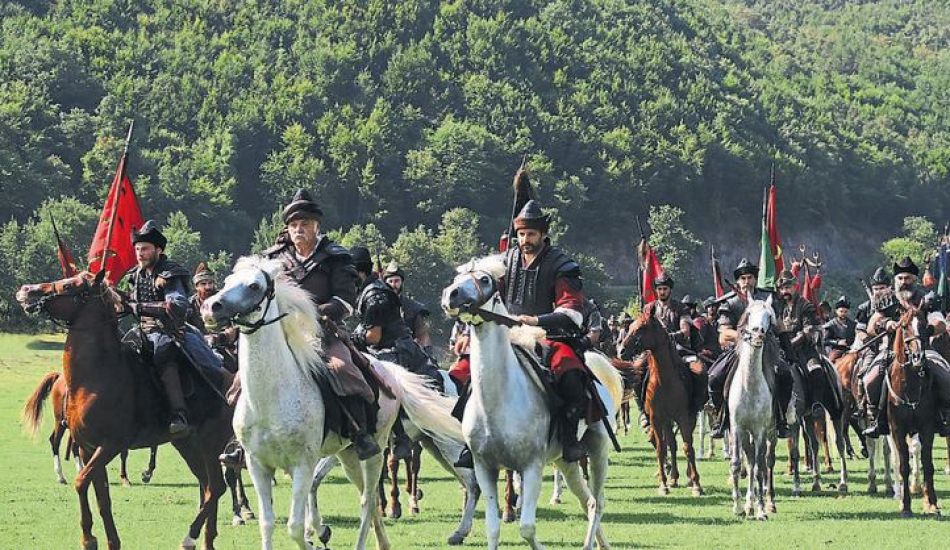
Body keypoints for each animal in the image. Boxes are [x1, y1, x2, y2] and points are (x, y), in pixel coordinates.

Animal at [17, 272, 235, 550]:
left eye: (69, 285)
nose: (26, 291)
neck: (96, 375)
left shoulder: (109, 445)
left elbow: (81, 482)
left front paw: (89, 537)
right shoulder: (87, 448)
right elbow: (101, 497)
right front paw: (107, 541)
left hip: (210, 444)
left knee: (216, 487)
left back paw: (190, 536)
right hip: (188, 445)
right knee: (207, 486)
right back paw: (206, 539)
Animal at [205, 258, 464, 550]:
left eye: (254, 285)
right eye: (228, 281)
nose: (211, 307)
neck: (272, 395)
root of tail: (388, 371)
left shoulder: (303, 464)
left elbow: (295, 527)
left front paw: (316, 536)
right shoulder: (257, 464)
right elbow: (267, 523)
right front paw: (318, 531)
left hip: (382, 451)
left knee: (370, 499)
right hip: (350, 454)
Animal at [444, 258, 624, 550]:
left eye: (484, 279)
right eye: (457, 278)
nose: (451, 295)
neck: (499, 402)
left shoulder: (532, 466)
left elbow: (527, 527)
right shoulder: (484, 467)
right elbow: (493, 528)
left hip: (598, 449)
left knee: (598, 502)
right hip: (565, 461)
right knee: (588, 501)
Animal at [612, 304, 704, 498]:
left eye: (641, 328)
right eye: (630, 327)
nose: (621, 351)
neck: (665, 380)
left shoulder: (683, 417)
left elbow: (688, 447)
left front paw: (696, 485)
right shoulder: (656, 418)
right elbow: (661, 448)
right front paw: (663, 484)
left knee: (682, 444)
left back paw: (687, 477)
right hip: (666, 421)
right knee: (671, 443)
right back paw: (674, 477)